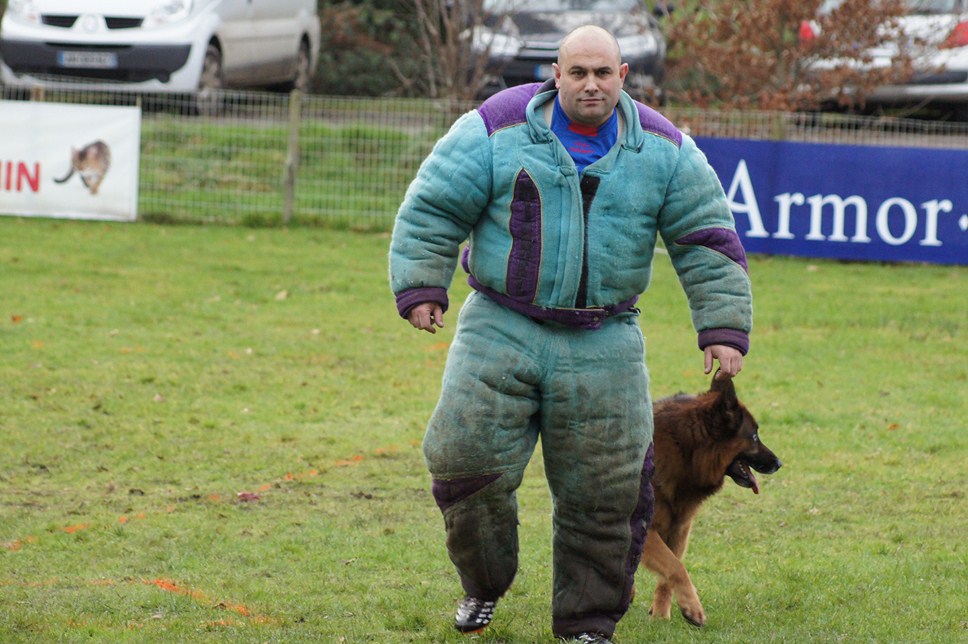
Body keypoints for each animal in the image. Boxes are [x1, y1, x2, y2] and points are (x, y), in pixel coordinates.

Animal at [640, 374, 784, 628]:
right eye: (754, 436)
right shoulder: (647, 530)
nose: (779, 463)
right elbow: (676, 567)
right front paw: (693, 607)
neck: (684, 450)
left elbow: (670, 569)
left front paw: (661, 615)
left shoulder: (679, 528)